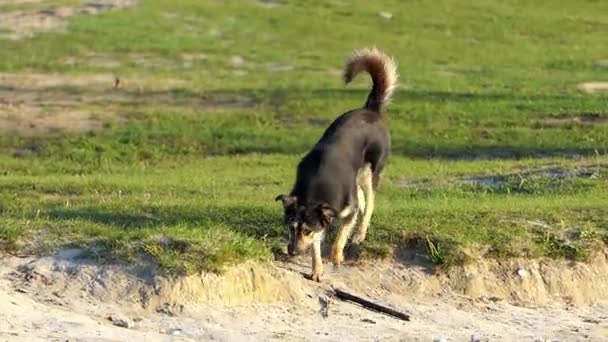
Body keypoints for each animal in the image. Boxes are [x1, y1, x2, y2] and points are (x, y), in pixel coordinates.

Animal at [276, 47, 400, 280]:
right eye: (290, 227)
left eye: (306, 230)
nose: (292, 252)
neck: (315, 188)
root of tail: (370, 109)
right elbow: (316, 247)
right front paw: (316, 270)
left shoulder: (344, 212)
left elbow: (340, 235)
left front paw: (336, 256)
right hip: (358, 177)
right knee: (362, 199)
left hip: (370, 171)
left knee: (369, 203)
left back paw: (360, 233)